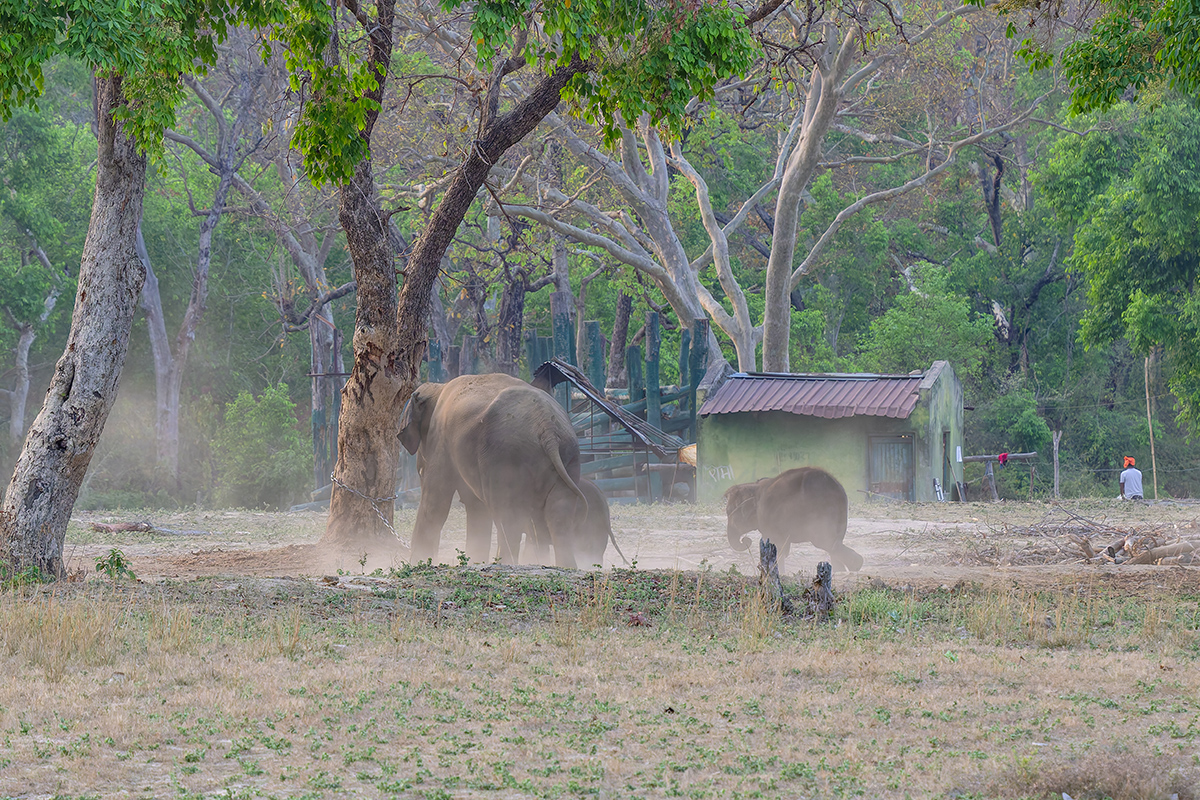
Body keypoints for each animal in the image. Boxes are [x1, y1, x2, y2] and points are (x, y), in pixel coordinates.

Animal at [398, 373, 587, 568]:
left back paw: (505, 562)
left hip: (505, 456)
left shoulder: (440, 440)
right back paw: (564, 565)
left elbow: (436, 502)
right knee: (558, 515)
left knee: (507, 514)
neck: (439, 388)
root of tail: (547, 428)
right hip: (568, 456)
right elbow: (476, 506)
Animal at [724, 467, 863, 572]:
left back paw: (856, 564)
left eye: (728, 511)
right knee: (833, 543)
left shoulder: (769, 520)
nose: (745, 540)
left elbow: (778, 546)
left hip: (819, 515)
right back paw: (842, 570)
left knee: (826, 542)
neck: (755, 487)